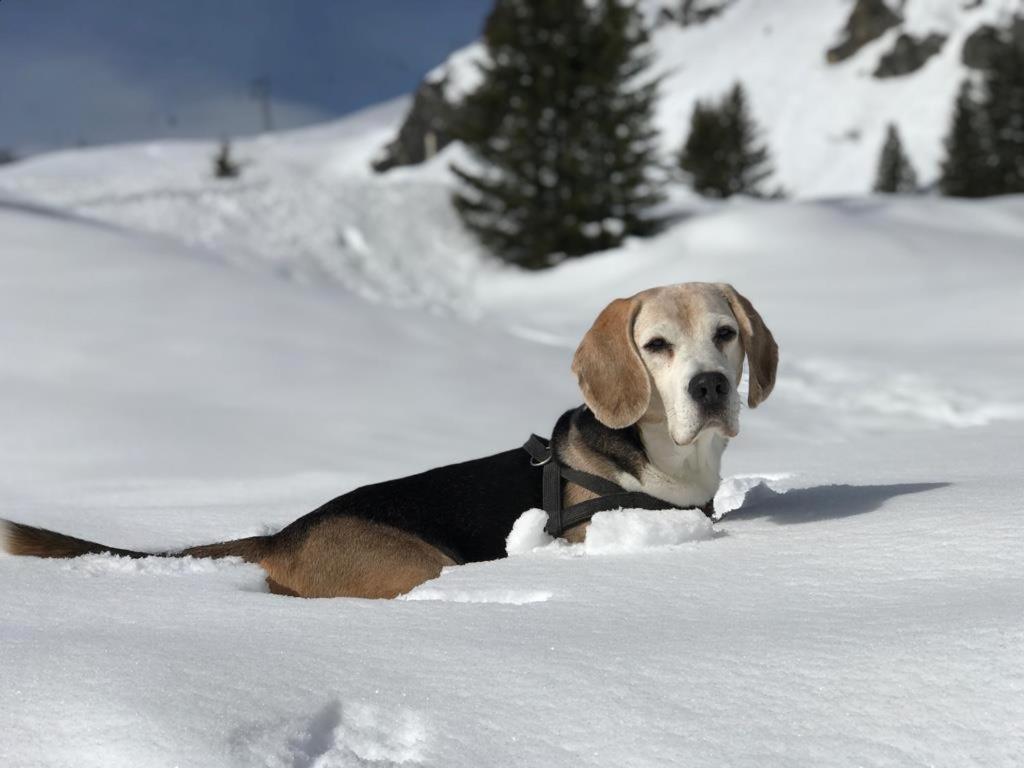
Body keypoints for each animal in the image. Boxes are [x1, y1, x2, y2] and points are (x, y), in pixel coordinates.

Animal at [4, 282, 774, 602]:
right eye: (656, 345)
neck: (668, 459)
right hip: (417, 565)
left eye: (724, 334)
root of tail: (284, 534)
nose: (709, 386)